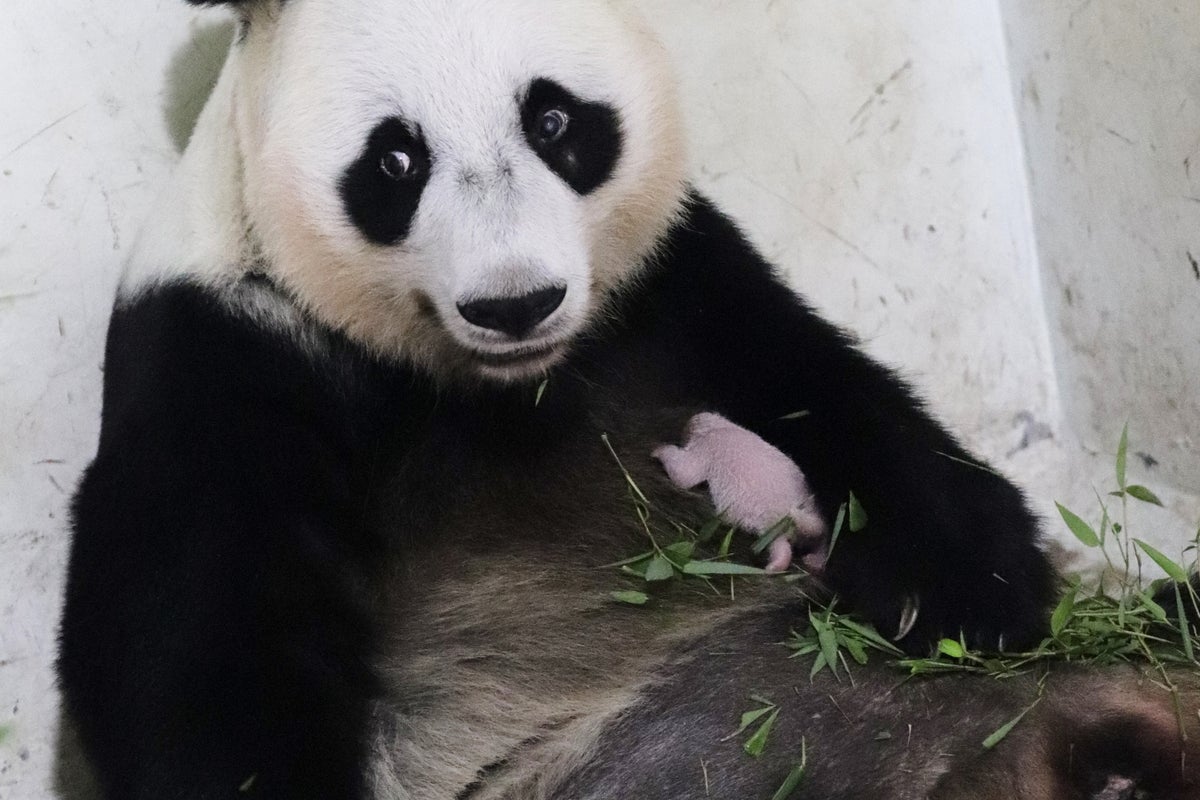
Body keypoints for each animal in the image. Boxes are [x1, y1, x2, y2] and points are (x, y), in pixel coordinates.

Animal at [57, 0, 1063, 797]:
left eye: (551, 118)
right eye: (395, 160)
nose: (516, 303)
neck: (500, 387)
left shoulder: (666, 279)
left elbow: (814, 380)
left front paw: (966, 589)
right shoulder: (226, 352)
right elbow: (202, 653)